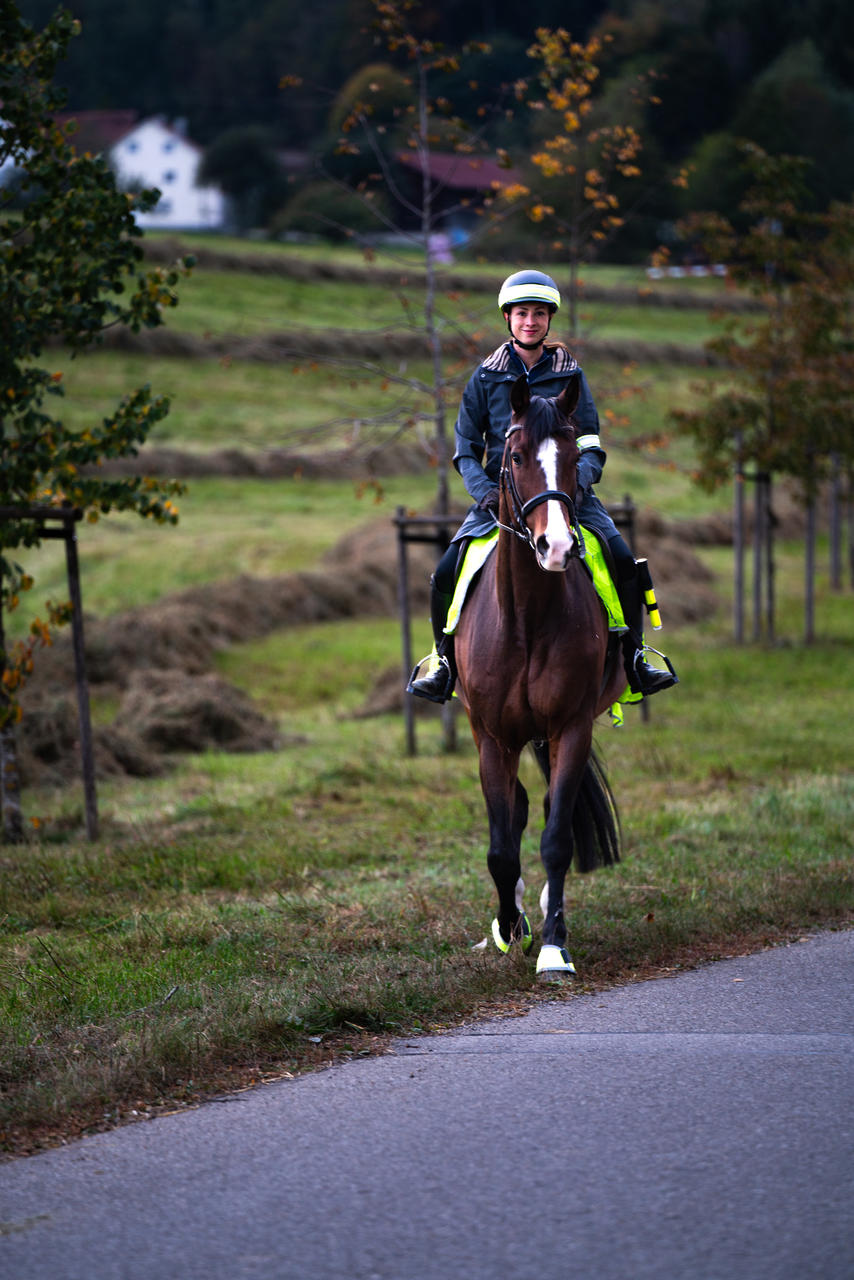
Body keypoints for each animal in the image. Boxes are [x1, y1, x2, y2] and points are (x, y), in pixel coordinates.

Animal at [458, 373, 624, 972]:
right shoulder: (491, 736)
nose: (556, 546)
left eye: (575, 456)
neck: (527, 619)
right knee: (521, 811)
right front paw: (511, 926)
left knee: (555, 809)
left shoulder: (570, 726)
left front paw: (554, 946)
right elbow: (501, 847)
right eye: (514, 454)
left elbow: (557, 838)